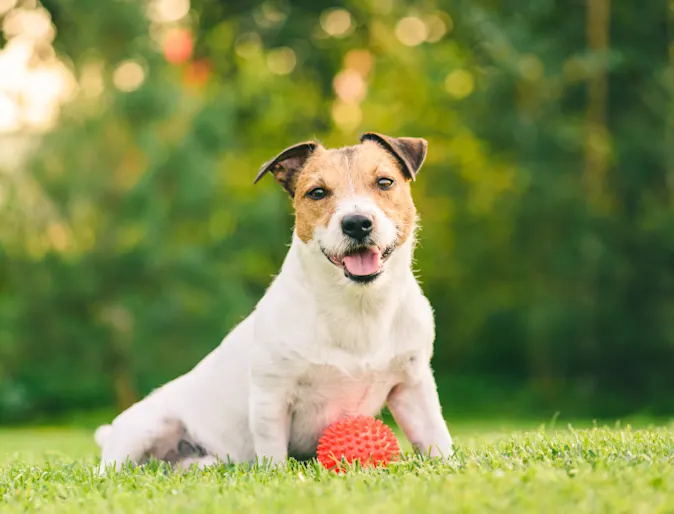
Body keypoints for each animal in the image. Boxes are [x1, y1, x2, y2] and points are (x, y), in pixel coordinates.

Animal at [94, 133, 452, 472]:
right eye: (317, 192)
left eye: (385, 182)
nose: (356, 223)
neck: (357, 307)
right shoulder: (272, 397)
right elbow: (272, 455)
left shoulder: (413, 388)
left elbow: (436, 437)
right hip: (147, 427)